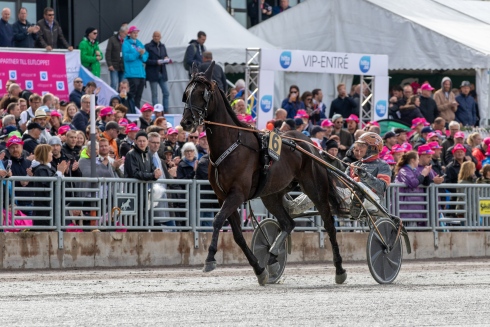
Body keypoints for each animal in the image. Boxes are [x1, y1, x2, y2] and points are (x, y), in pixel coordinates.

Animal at [181, 62, 348, 288]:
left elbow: (217, 220)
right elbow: (237, 235)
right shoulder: (223, 196)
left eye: (202, 93)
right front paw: (260, 270)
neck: (231, 144)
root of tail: (309, 144)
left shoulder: (237, 194)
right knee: (288, 223)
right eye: (187, 93)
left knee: (329, 223)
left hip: (315, 188)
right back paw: (272, 256)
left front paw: (210, 259)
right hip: (271, 194)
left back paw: (339, 269)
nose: (186, 122)